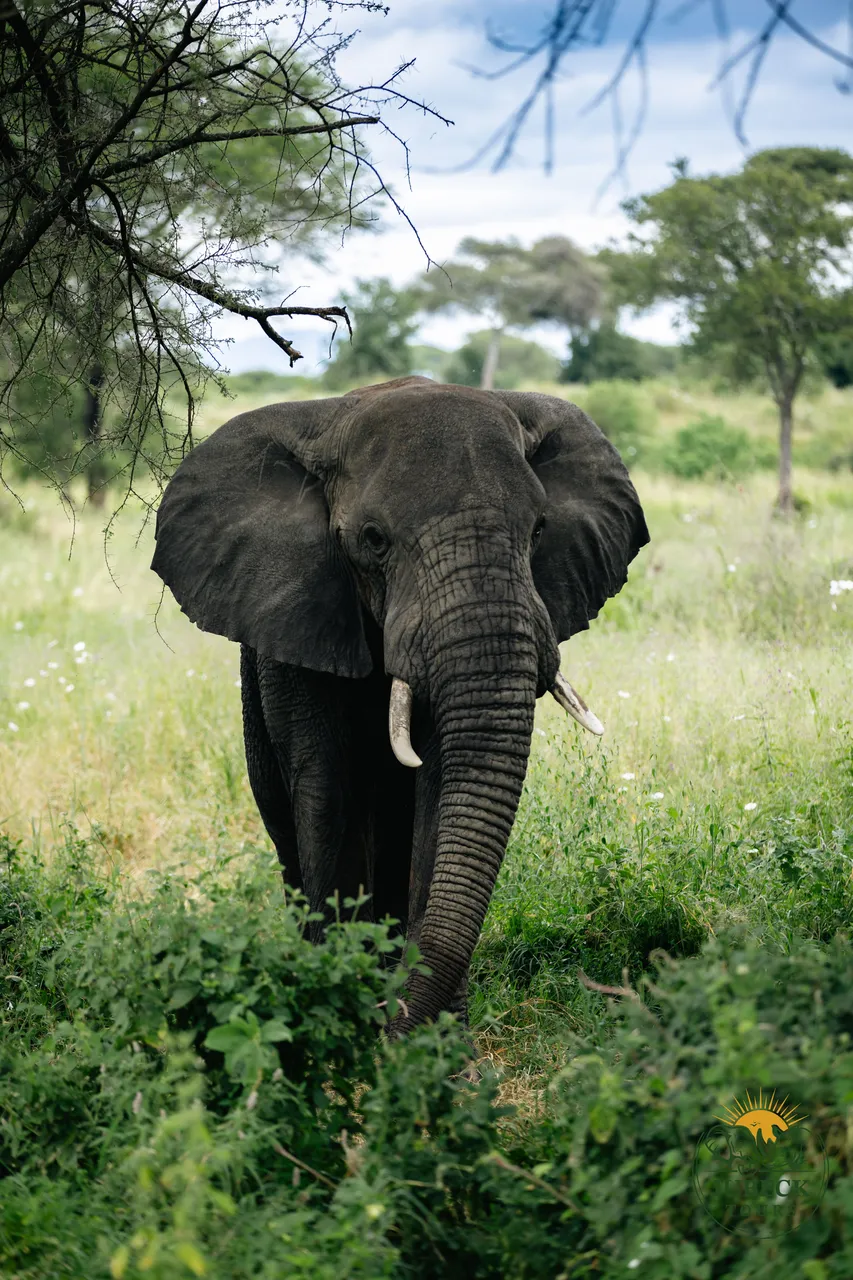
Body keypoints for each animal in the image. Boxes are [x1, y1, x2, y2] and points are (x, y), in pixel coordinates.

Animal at [151, 376, 648, 1034]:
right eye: (374, 540)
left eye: (540, 529)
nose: (392, 1021)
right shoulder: (299, 620)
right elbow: (325, 786)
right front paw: (336, 1006)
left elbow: (438, 797)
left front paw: (438, 1044)